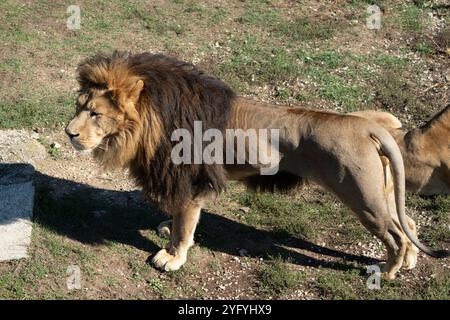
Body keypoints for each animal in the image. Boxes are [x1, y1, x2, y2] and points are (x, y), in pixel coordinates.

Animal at [65, 51, 448, 278]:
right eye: (79, 106)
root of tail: (370, 126)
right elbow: (178, 219)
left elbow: (185, 227)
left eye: (95, 113)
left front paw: (171, 257)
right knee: (408, 223)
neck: (151, 122)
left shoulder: (191, 183)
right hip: (381, 192)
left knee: (395, 235)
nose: (68, 132)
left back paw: (387, 270)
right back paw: (409, 262)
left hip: (363, 196)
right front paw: (166, 228)